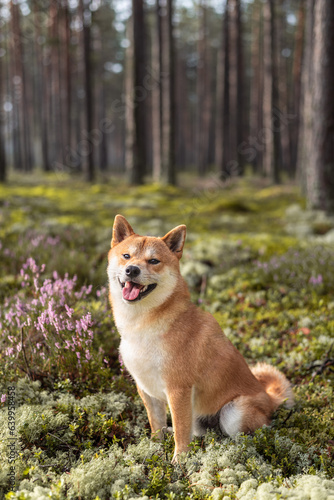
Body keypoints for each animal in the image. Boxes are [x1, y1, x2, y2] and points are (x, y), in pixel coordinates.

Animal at [108, 217, 294, 462]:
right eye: (126, 256)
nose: (132, 270)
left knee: (245, 435)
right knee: (198, 433)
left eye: (154, 261)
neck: (142, 325)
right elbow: (157, 425)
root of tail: (270, 399)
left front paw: (179, 462)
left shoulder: (178, 390)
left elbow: (181, 432)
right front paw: (155, 450)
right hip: (198, 413)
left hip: (232, 414)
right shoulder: (146, 389)